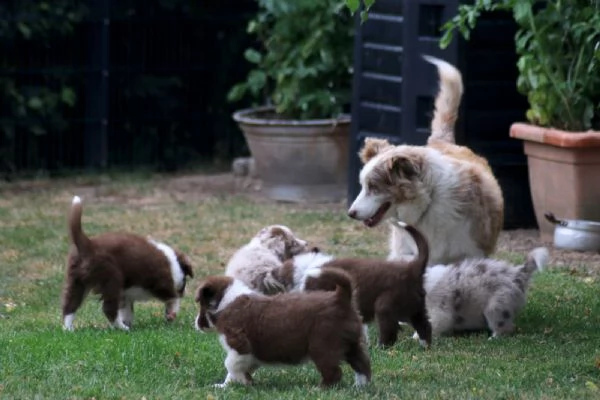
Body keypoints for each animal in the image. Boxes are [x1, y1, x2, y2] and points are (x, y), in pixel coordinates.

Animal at [61, 197, 193, 332]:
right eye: (185, 281)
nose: (184, 293)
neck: (174, 263)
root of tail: (89, 245)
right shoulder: (161, 283)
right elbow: (173, 297)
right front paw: (172, 313)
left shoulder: (125, 296)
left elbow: (127, 310)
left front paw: (129, 322)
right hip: (112, 278)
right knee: (108, 308)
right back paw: (122, 328)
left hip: (77, 281)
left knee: (69, 305)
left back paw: (68, 329)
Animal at [195, 268, 370, 388]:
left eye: (201, 305)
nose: (196, 323)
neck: (227, 301)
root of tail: (340, 297)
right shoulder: (250, 354)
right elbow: (236, 370)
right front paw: (227, 386)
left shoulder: (239, 344)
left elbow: (230, 364)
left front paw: (240, 383)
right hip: (352, 343)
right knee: (362, 364)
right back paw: (360, 386)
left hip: (322, 345)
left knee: (334, 372)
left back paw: (320, 389)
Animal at [274, 222, 434, 346]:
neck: (307, 268)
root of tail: (411, 270)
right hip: (415, 307)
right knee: (424, 325)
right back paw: (424, 345)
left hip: (386, 305)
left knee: (389, 330)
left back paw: (382, 347)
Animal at [346, 54, 506, 266]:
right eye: (363, 186)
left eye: (373, 187)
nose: (350, 214)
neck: (429, 200)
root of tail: (442, 141)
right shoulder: (407, 253)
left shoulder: (471, 252)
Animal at [418, 247, 548, 338]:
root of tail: (518, 274)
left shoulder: (440, 310)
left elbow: (436, 322)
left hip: (496, 307)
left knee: (505, 327)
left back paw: (494, 338)